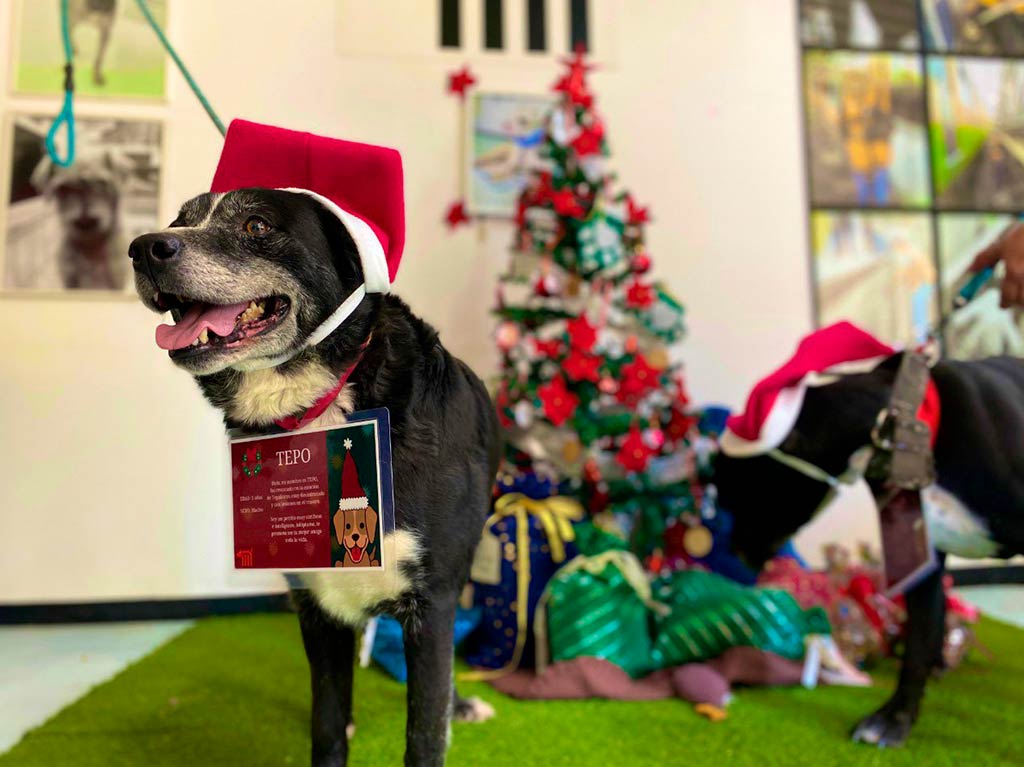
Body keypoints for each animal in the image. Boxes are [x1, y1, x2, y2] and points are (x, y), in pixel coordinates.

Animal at [132, 187, 499, 765]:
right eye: (178, 221)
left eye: (257, 225)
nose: (143, 248)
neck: (322, 406)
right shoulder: (316, 601)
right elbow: (326, 723)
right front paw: (338, 726)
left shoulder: (434, 600)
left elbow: (424, 730)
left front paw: (442, 718)